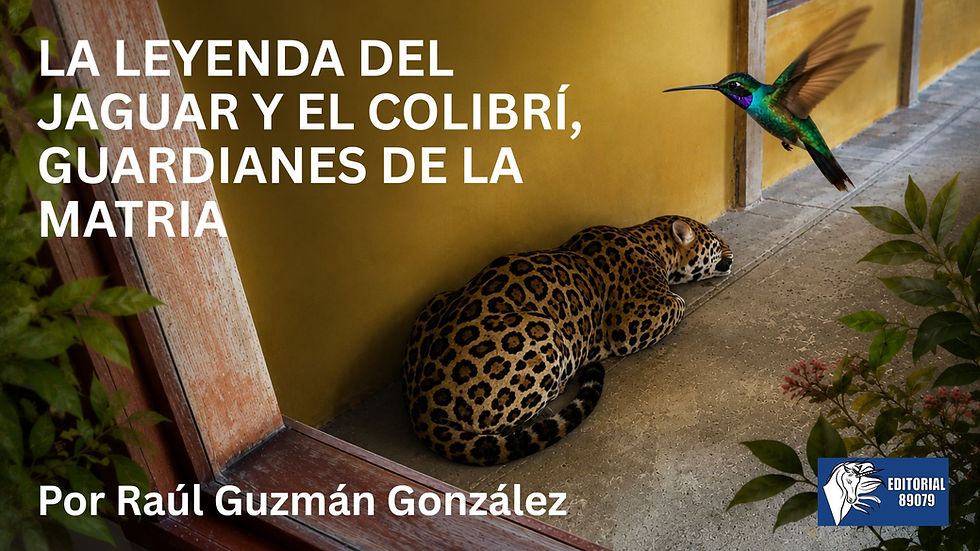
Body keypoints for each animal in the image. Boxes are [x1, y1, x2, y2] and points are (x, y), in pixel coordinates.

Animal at [402, 215, 733, 465]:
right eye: (717, 242)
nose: (732, 251)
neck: (651, 242)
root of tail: (422, 402)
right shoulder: (632, 322)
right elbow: (678, 303)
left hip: (437, 299)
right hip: (545, 329)